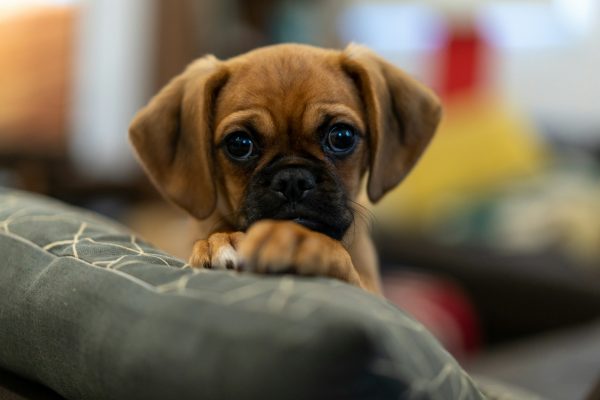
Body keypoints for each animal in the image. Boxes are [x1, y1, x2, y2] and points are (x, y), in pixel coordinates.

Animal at [130, 43, 440, 296]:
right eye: (239, 144)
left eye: (342, 136)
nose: (293, 179)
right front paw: (223, 240)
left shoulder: (373, 292)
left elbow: (337, 254)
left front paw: (299, 239)